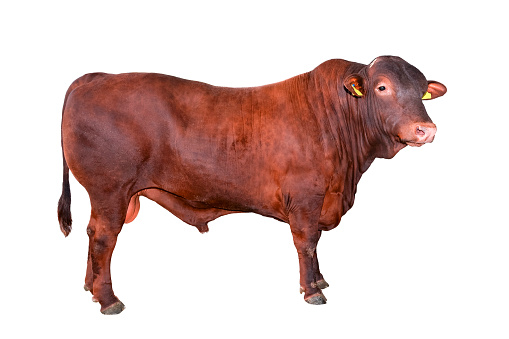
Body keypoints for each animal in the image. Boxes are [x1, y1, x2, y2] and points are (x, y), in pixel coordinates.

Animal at [56, 55, 444, 314]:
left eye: (422, 91)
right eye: (382, 87)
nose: (425, 130)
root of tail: (95, 77)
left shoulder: (319, 200)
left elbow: (315, 245)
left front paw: (319, 279)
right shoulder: (305, 198)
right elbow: (307, 242)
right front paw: (311, 291)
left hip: (105, 195)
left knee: (93, 233)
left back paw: (90, 287)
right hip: (110, 189)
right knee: (104, 238)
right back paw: (108, 299)